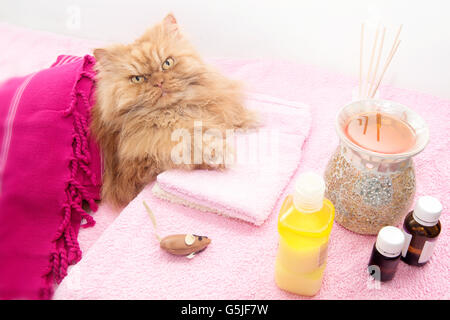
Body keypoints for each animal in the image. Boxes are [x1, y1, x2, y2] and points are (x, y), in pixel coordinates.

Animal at [91, 13, 256, 206]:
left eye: (167, 63)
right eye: (138, 79)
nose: (158, 82)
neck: (174, 111)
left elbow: (232, 115)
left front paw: (247, 121)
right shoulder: (133, 171)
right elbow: (188, 144)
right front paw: (215, 153)